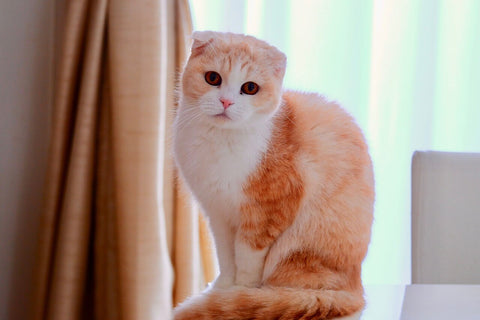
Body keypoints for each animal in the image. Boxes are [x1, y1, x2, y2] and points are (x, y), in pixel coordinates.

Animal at [172, 30, 376, 320]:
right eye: (213, 78)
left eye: (250, 88)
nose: (226, 101)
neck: (220, 141)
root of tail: (357, 290)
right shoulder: (218, 213)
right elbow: (226, 255)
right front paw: (223, 287)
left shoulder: (268, 211)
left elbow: (246, 257)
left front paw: (240, 292)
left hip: (295, 252)